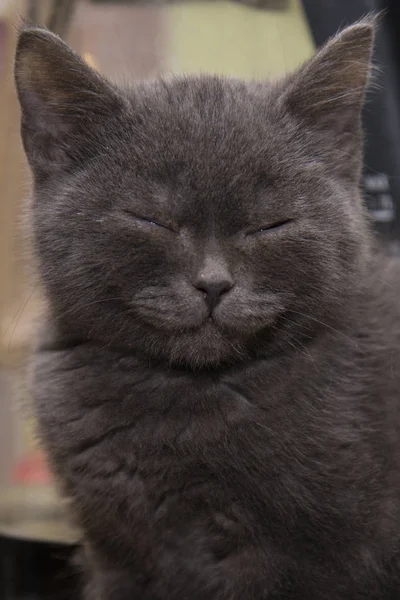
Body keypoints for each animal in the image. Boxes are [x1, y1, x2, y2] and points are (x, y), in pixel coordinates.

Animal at [14, 16, 400, 600]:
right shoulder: (117, 554)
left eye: (271, 225)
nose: (214, 284)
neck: (186, 396)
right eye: (152, 220)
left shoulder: (317, 560)